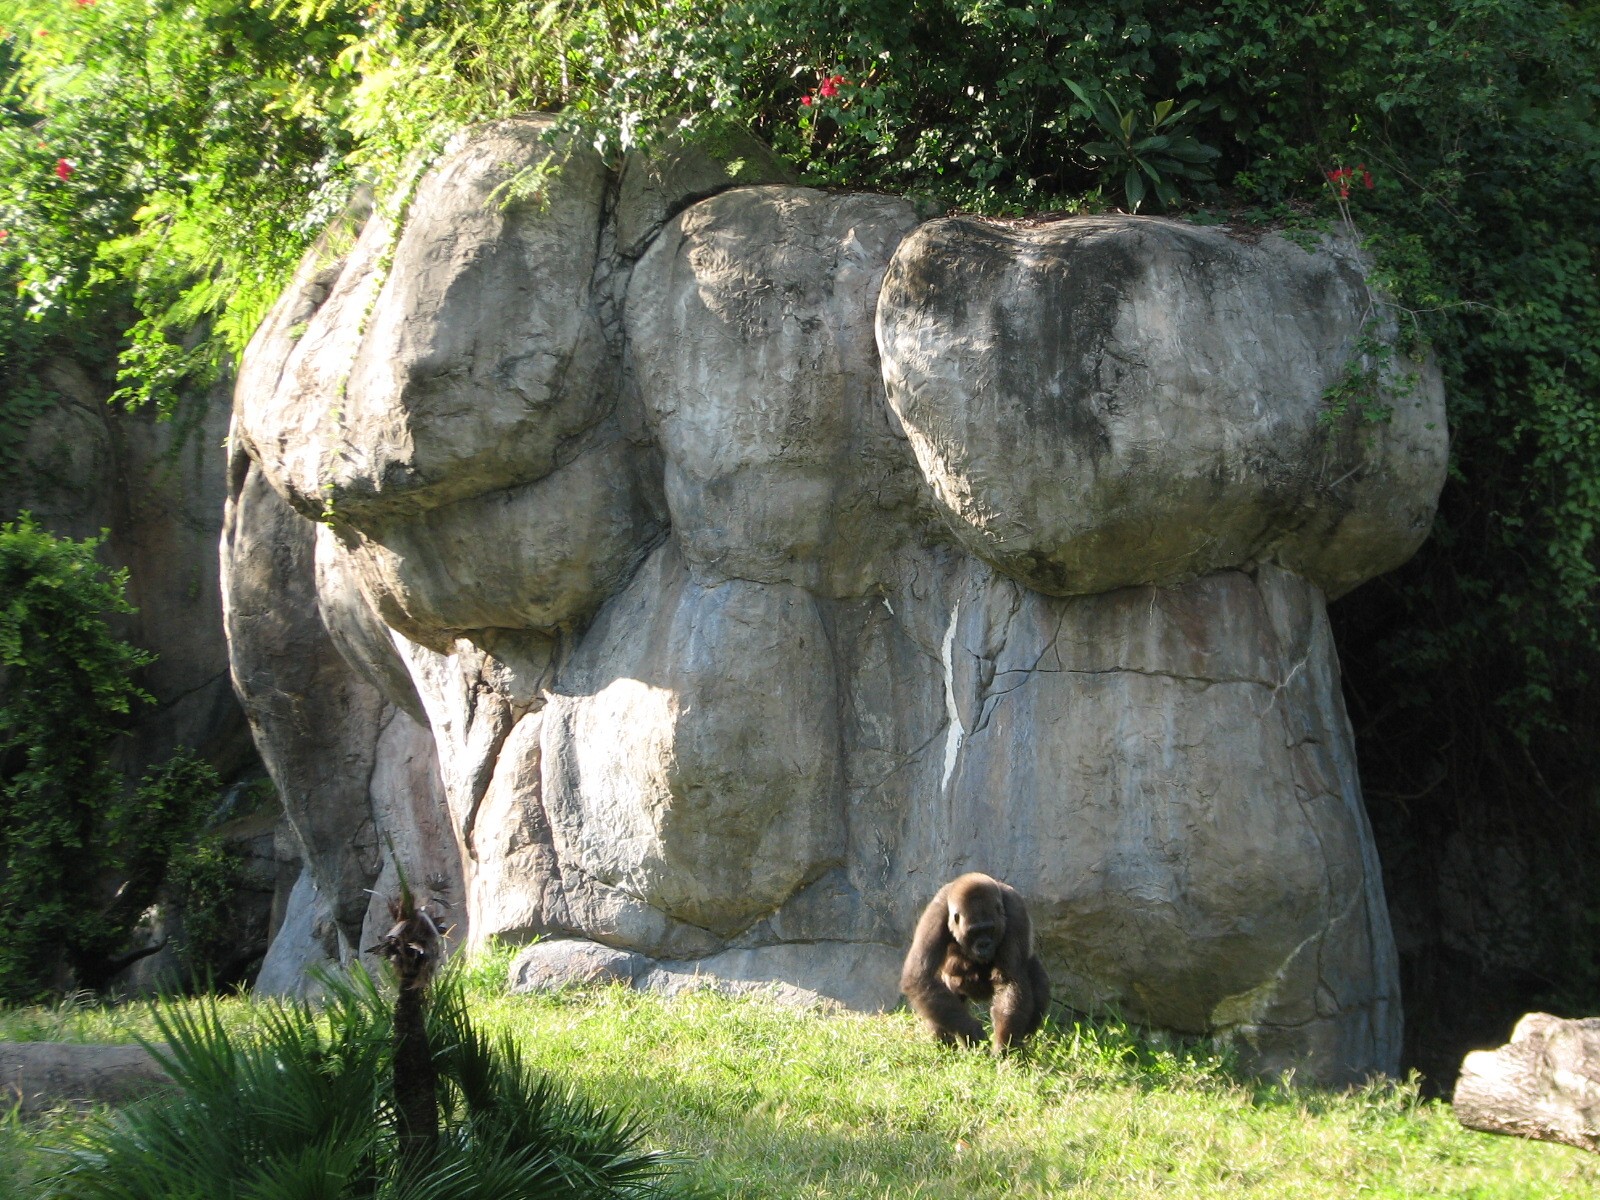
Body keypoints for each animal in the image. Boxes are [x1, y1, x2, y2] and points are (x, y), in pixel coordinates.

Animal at [900, 872, 1050, 1052]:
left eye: (990, 929)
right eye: (974, 932)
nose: (984, 945)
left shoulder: (1016, 910)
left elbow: (1009, 980)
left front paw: (1003, 1046)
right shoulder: (936, 913)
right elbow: (919, 978)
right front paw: (972, 1032)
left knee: (1039, 986)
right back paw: (946, 1049)